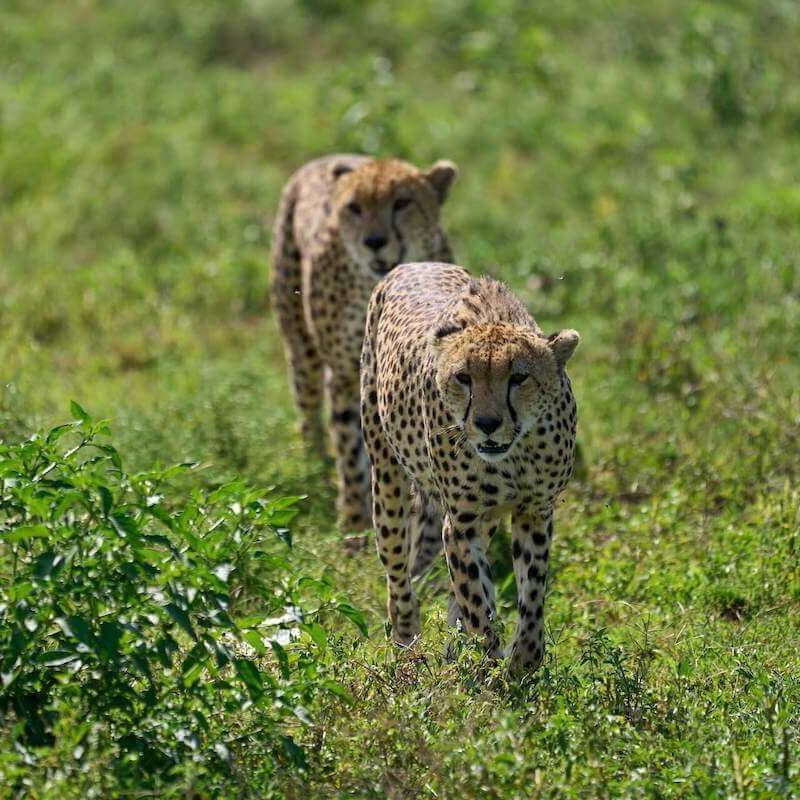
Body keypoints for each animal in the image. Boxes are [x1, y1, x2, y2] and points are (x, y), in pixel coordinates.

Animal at [270, 154, 458, 535]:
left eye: (402, 203)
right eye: (354, 207)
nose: (374, 241)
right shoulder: (345, 374)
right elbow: (348, 445)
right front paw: (354, 520)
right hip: (302, 350)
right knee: (309, 414)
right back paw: (315, 467)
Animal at [360, 261, 579, 673]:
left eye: (518, 377)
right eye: (463, 377)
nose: (487, 423)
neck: (513, 454)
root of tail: (415, 263)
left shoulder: (534, 511)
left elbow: (531, 596)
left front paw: (520, 663)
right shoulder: (462, 521)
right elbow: (476, 600)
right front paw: (486, 661)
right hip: (386, 479)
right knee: (398, 572)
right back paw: (407, 640)